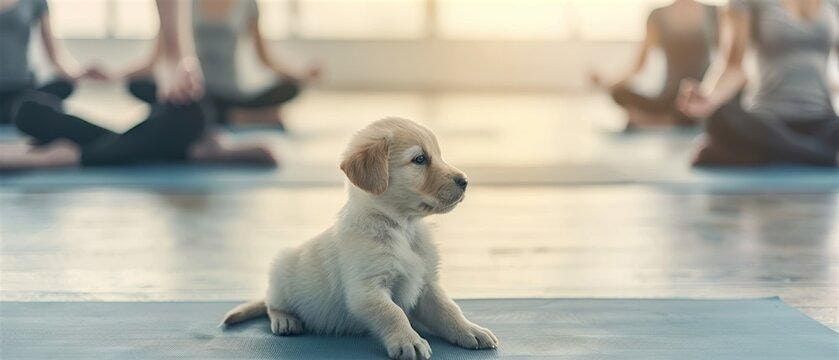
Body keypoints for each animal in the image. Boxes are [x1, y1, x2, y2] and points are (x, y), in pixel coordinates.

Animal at [223, 118, 498, 360]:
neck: (403, 228)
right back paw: (285, 319)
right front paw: (408, 340)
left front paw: (470, 330)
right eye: (420, 159)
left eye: (439, 155)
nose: (465, 181)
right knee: (272, 303)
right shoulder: (367, 288)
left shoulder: (427, 284)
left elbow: (449, 309)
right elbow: (393, 313)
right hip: (280, 272)